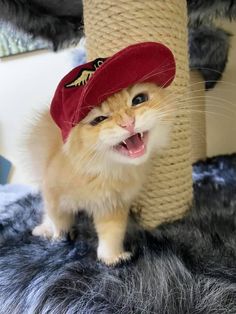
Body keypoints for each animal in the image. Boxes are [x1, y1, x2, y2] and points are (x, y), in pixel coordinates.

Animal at [27, 82, 173, 264]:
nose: (128, 123)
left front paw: (112, 258)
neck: (100, 170)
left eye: (139, 100)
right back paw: (43, 230)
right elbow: (59, 221)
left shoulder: (112, 205)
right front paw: (59, 239)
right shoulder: (53, 193)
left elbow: (112, 235)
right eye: (99, 120)